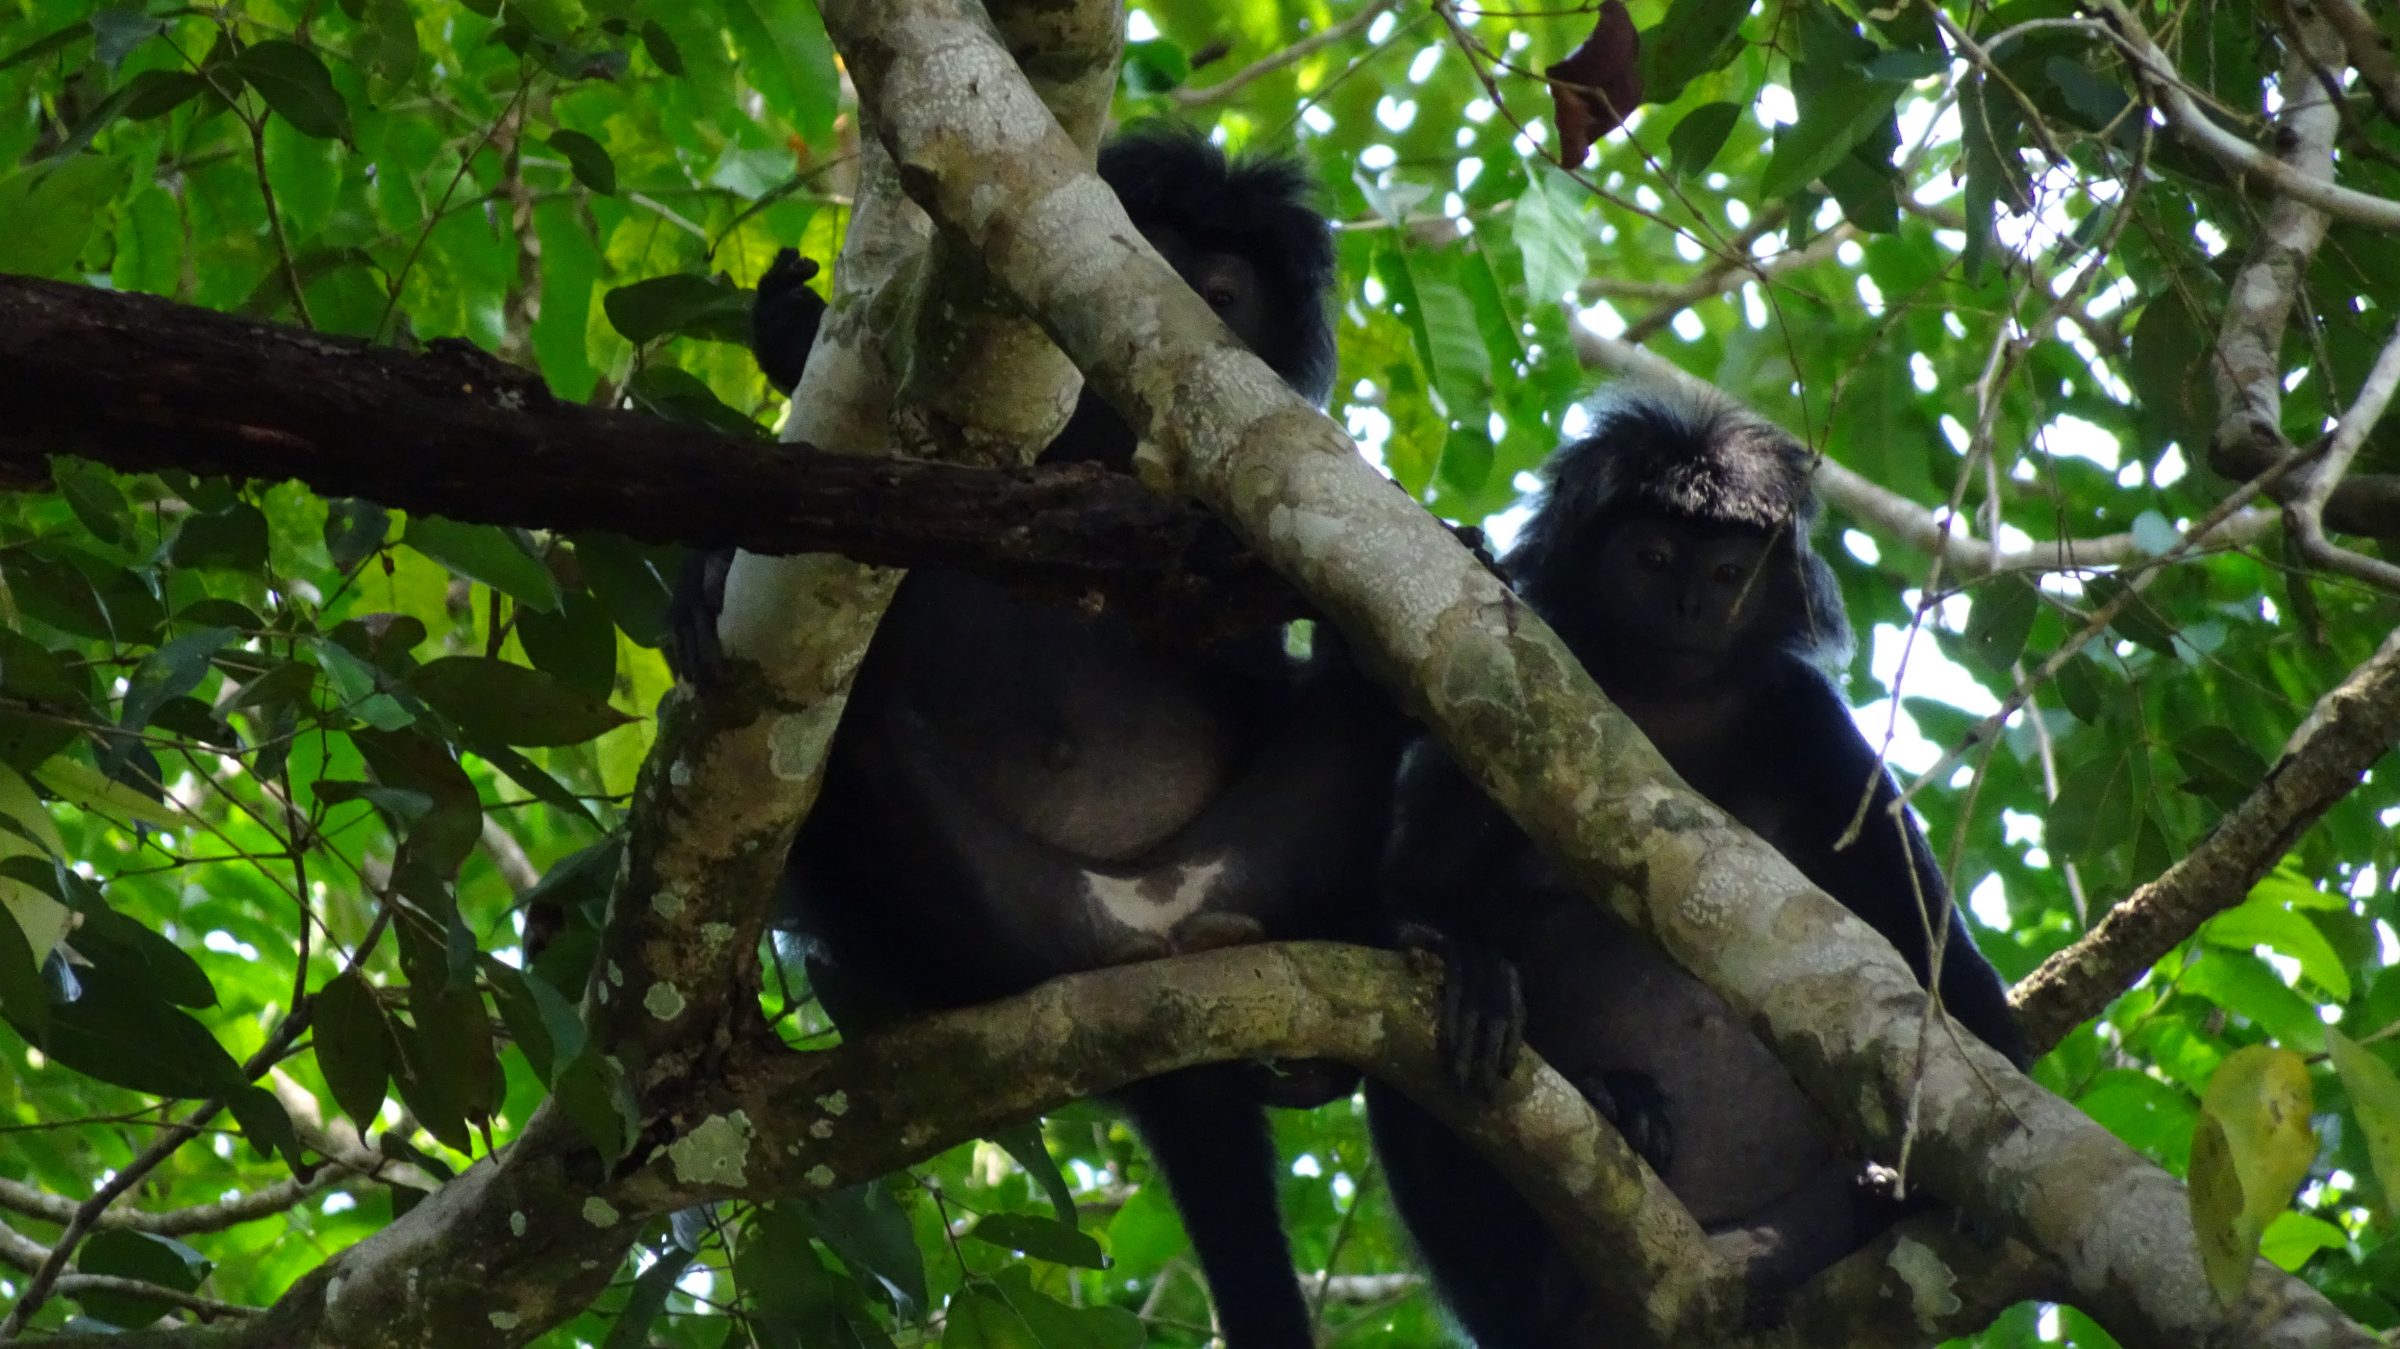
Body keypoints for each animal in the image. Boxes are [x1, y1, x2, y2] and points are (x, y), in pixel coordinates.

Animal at [1364, 386, 2030, 1346]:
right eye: (1652, 558)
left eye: (1724, 573)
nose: (1686, 604)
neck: (1664, 702)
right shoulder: (1499, 683)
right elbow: (1389, 906)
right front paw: (1467, 960)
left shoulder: (1807, 718)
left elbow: (1939, 963)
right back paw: (1606, 1104)